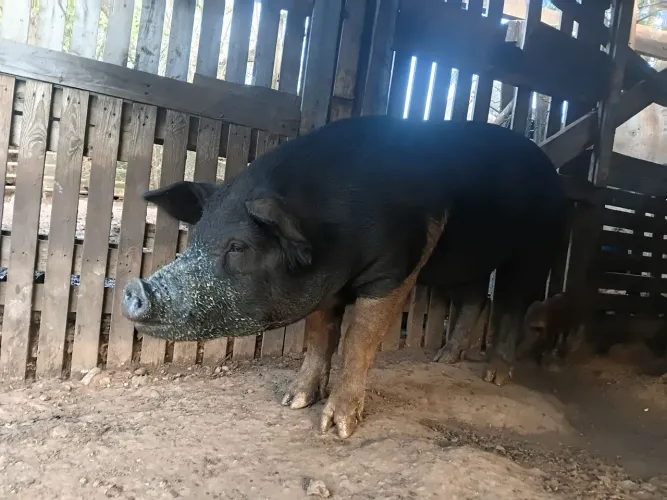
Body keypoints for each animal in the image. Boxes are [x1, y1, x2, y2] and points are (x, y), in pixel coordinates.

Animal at [122, 115, 567, 439]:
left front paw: (337, 429)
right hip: (471, 259)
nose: (133, 287)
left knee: (512, 304)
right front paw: (293, 401)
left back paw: (496, 376)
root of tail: (551, 168)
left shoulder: (395, 270)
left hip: (536, 249)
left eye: (238, 247)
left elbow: (358, 340)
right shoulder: (325, 285)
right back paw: (444, 357)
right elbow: (320, 336)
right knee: (475, 297)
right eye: (196, 238)